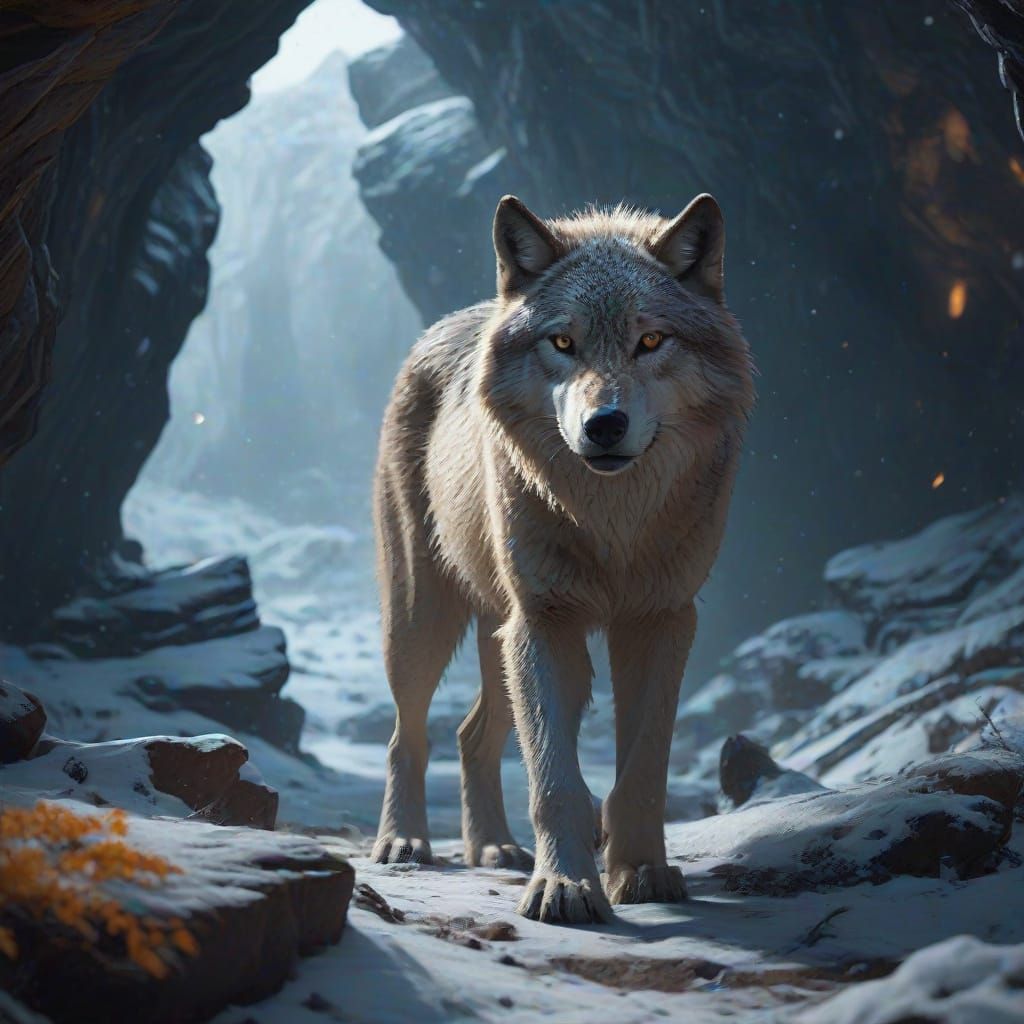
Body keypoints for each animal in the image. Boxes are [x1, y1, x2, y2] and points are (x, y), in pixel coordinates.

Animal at [371, 193, 755, 924]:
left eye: (650, 341)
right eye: (563, 343)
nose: (603, 425)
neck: (612, 522)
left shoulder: (661, 621)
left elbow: (642, 769)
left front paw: (641, 873)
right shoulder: (546, 623)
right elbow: (554, 777)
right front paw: (565, 887)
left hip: (498, 634)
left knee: (470, 736)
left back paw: (493, 848)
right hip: (424, 621)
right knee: (409, 736)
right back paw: (404, 841)